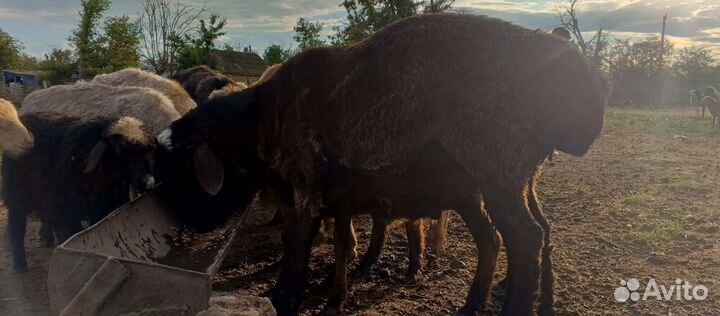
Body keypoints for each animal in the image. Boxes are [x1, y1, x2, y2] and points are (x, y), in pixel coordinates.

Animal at [3, 113, 156, 272]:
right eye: (120, 151)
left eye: (151, 151)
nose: (149, 182)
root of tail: (24, 116)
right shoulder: (65, 213)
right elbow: (69, 236)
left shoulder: (103, 210)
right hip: (16, 191)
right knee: (16, 223)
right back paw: (20, 264)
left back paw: (46, 239)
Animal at [156, 13, 608, 314]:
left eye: (183, 168)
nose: (190, 226)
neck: (262, 116)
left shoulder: (306, 178)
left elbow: (298, 239)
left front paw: (285, 295)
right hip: (502, 181)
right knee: (509, 237)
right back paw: (491, 302)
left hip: (497, 166)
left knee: (526, 239)